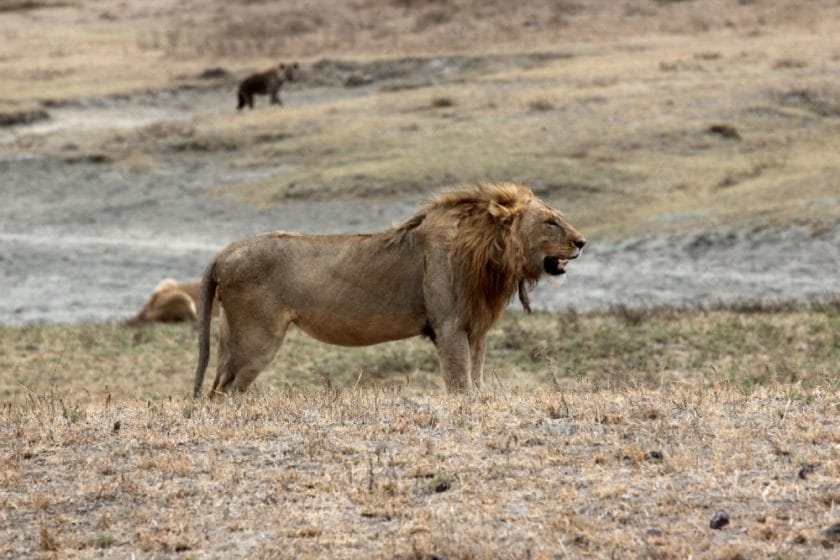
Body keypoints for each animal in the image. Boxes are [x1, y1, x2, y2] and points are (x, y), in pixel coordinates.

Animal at [192, 182, 584, 396]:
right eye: (550, 222)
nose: (582, 242)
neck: (491, 254)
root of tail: (224, 252)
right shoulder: (448, 326)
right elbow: (460, 385)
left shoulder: (476, 330)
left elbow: (476, 379)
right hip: (258, 337)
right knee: (226, 392)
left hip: (231, 337)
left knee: (215, 389)